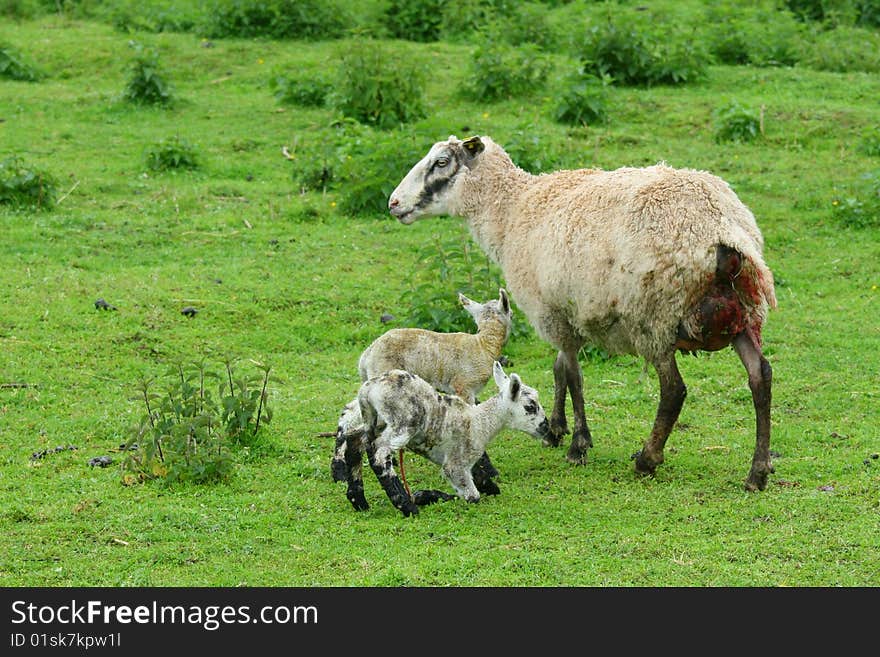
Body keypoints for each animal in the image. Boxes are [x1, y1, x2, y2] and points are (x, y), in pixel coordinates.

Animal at [330, 288, 512, 482]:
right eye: (511, 313)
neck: (484, 344)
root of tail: (367, 355)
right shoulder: (464, 387)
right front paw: (487, 470)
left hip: (369, 383)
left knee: (349, 412)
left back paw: (338, 469)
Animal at [346, 358, 548, 516]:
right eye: (530, 406)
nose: (546, 428)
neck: (481, 423)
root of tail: (369, 390)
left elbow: (488, 485)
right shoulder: (456, 463)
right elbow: (472, 497)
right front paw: (424, 496)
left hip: (374, 421)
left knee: (357, 443)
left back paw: (358, 500)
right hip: (403, 423)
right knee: (380, 453)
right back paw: (406, 505)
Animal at [388, 135, 780, 492]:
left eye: (441, 163)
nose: (393, 203)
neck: (513, 209)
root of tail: (723, 231)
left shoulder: (552, 313)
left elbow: (573, 375)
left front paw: (578, 445)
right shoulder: (563, 313)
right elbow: (559, 368)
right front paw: (557, 427)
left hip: (656, 317)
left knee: (673, 391)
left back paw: (647, 459)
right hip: (743, 315)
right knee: (760, 376)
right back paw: (757, 472)